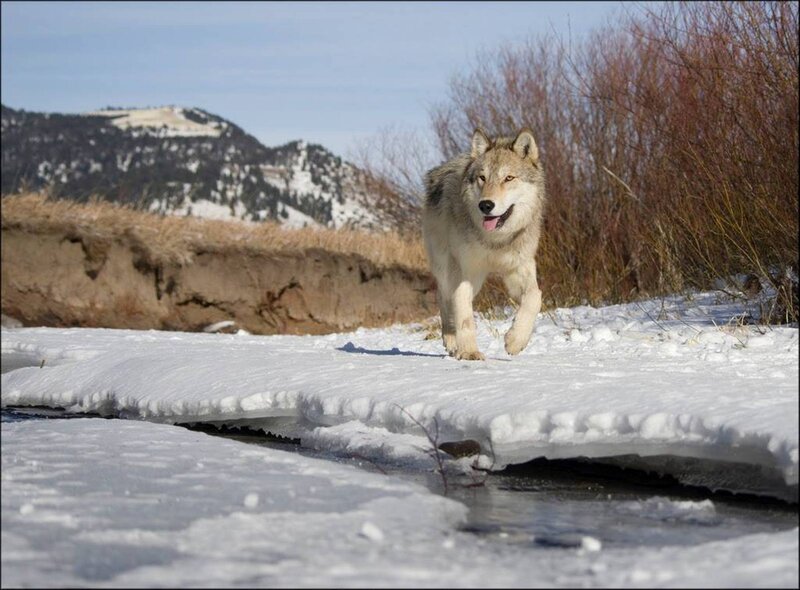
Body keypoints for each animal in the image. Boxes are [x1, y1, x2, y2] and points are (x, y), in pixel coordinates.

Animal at [422, 128, 545, 360]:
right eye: (482, 178)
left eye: (508, 178)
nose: (486, 205)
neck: (494, 241)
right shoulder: (462, 271)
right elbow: (464, 314)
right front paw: (469, 352)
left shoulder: (518, 268)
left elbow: (535, 297)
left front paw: (515, 341)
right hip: (450, 269)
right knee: (444, 298)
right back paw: (451, 340)